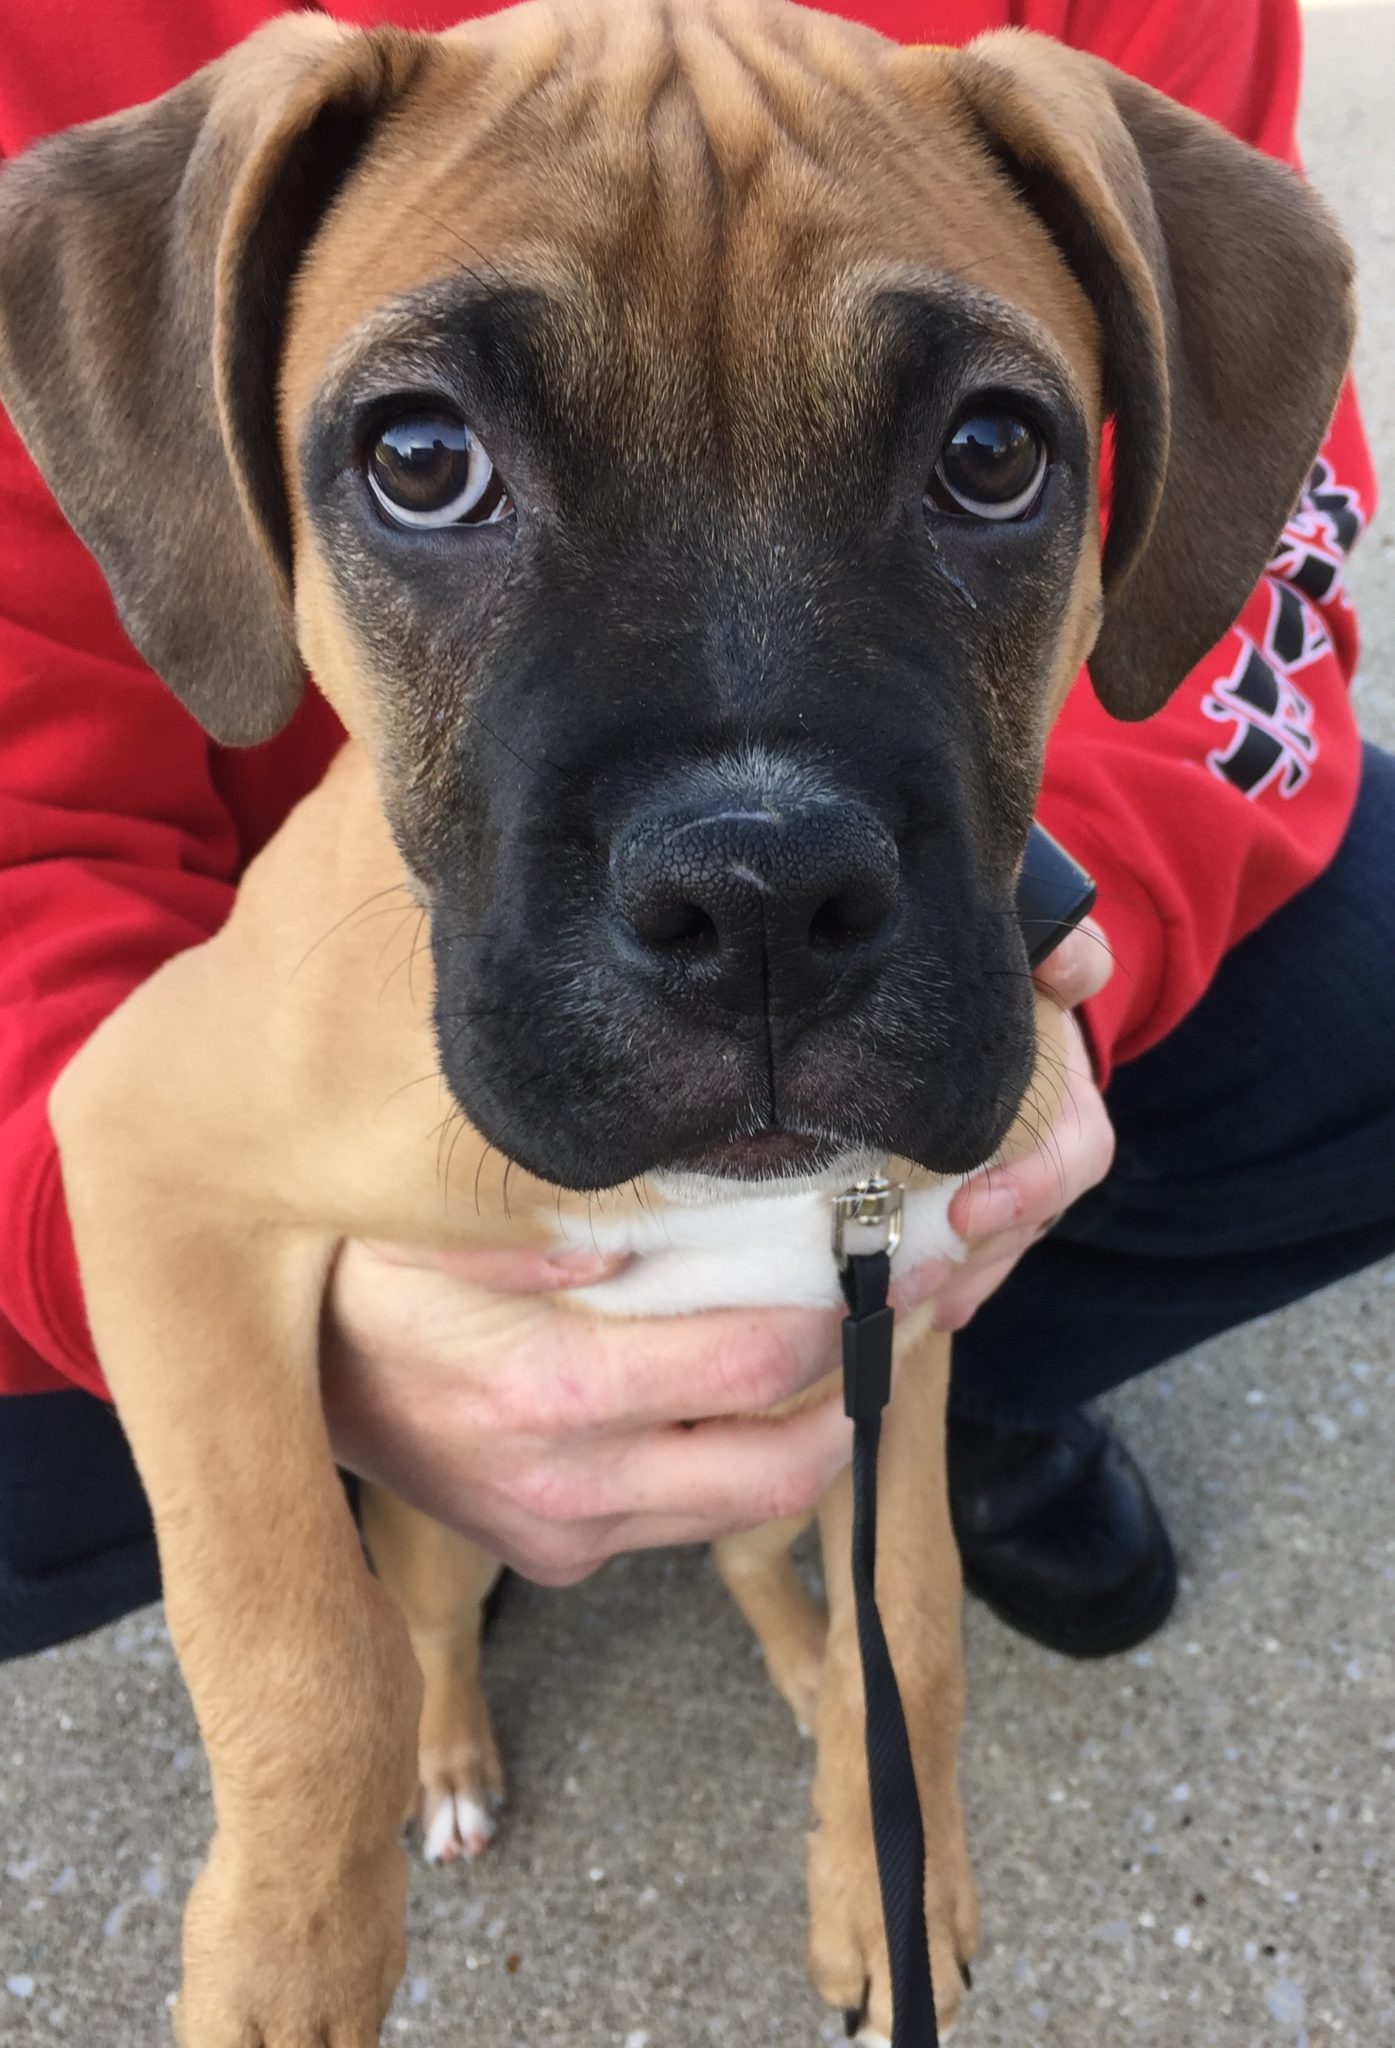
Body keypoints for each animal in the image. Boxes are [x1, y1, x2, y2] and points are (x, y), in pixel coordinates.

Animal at [0, 4, 1351, 2048]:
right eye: (418, 459)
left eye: (991, 453)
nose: (762, 902)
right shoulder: (145, 1167)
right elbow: (290, 1638)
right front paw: (286, 1961)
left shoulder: (906, 1336)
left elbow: (914, 1621)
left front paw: (890, 1880)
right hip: (438, 1502)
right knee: (414, 1613)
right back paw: (452, 1761)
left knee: (759, 1565)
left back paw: (794, 1670)